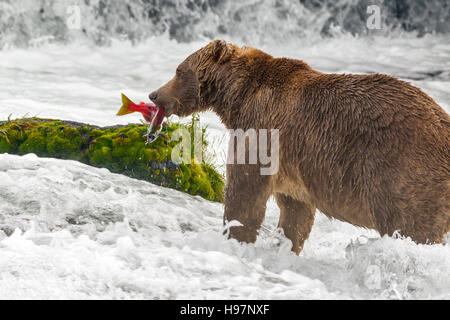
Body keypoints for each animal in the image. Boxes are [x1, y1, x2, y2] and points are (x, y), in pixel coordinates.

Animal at [149, 38, 450, 254]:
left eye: (179, 70)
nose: (154, 94)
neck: (236, 96)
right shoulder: (293, 167)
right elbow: (296, 212)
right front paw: (283, 246)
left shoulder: (262, 130)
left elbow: (244, 191)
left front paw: (234, 236)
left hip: (403, 172)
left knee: (411, 227)